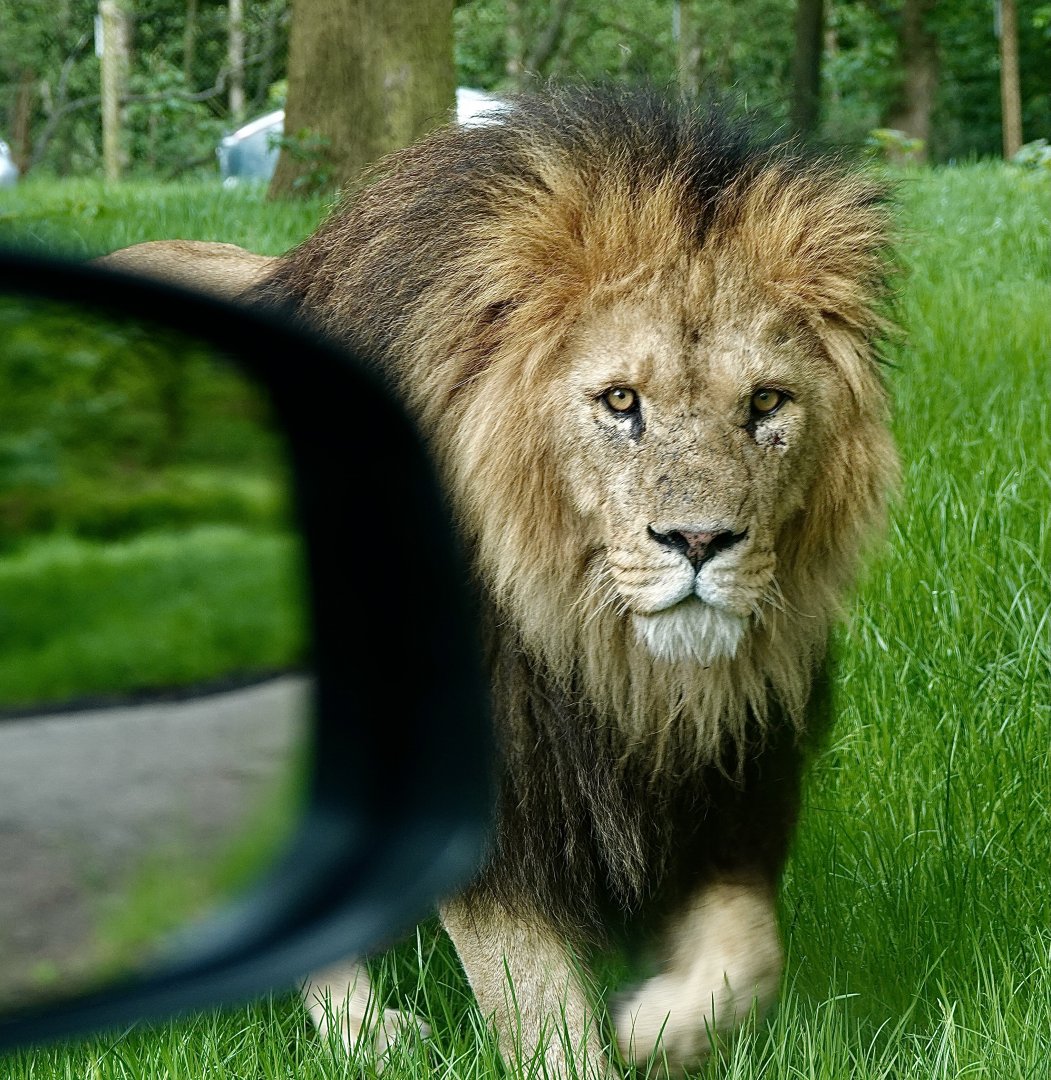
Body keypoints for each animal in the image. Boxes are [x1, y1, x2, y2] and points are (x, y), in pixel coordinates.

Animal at [101, 85, 899, 1076]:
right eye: (620, 401)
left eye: (764, 403)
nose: (699, 540)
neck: (610, 662)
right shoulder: (497, 810)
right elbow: (543, 1012)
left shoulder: (730, 782)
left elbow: (749, 952)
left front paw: (658, 1023)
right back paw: (359, 1031)